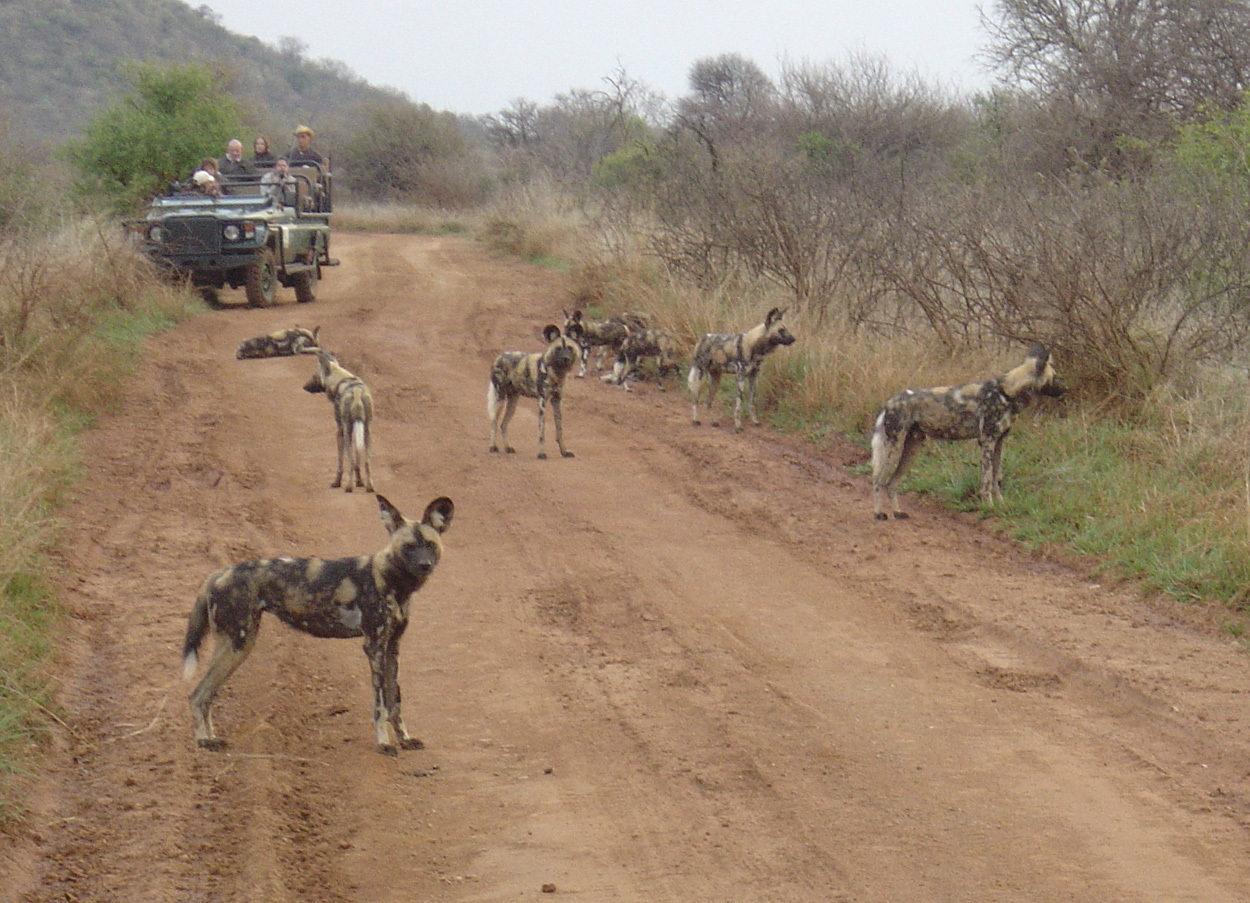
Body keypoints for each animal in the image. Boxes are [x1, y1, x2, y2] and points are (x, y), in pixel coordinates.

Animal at [182, 492, 457, 750]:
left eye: (430, 545)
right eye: (408, 547)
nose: (424, 564)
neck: (393, 581)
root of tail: (219, 573)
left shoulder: (392, 647)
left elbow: (395, 701)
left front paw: (405, 740)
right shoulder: (374, 647)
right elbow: (380, 705)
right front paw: (384, 743)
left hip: (237, 645)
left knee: (206, 696)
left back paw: (211, 738)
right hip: (237, 645)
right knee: (197, 695)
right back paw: (204, 741)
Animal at [303, 350, 372, 492]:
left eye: (314, 376)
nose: (304, 387)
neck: (340, 380)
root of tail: (356, 390)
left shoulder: (341, 430)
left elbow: (341, 462)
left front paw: (337, 482)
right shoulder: (357, 428)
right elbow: (358, 460)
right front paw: (359, 482)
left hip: (346, 432)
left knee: (350, 460)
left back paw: (349, 486)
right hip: (367, 431)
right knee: (367, 461)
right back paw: (369, 486)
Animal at [487, 320, 585, 457]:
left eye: (570, 348)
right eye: (558, 349)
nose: (565, 358)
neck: (556, 374)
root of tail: (499, 356)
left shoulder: (557, 400)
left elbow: (559, 429)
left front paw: (564, 451)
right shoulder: (542, 402)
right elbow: (541, 432)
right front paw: (541, 453)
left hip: (513, 402)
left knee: (503, 424)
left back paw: (507, 448)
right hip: (500, 398)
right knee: (494, 422)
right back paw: (493, 446)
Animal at [870, 340, 1065, 517]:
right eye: (1054, 377)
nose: (1066, 388)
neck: (1007, 393)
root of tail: (890, 401)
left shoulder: (999, 442)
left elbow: (996, 479)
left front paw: (1001, 505)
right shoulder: (987, 442)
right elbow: (987, 480)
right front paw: (989, 507)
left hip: (912, 449)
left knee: (891, 483)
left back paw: (897, 512)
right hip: (894, 448)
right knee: (878, 481)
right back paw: (879, 514)